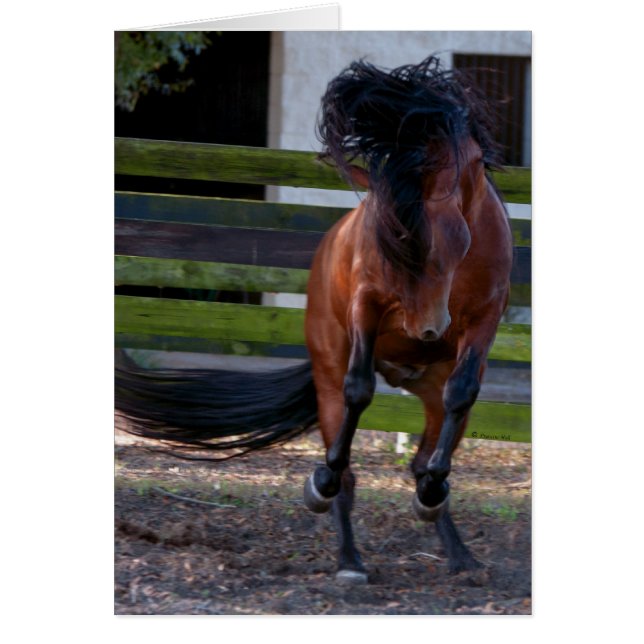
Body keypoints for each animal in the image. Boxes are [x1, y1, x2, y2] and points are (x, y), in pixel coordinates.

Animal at [115, 55, 514, 584]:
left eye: (456, 245)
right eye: (397, 237)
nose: (427, 327)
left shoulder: (484, 319)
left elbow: (462, 392)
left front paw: (434, 495)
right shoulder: (367, 305)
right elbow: (358, 392)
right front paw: (319, 483)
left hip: (429, 387)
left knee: (427, 449)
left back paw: (455, 546)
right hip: (328, 374)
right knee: (349, 462)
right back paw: (348, 557)